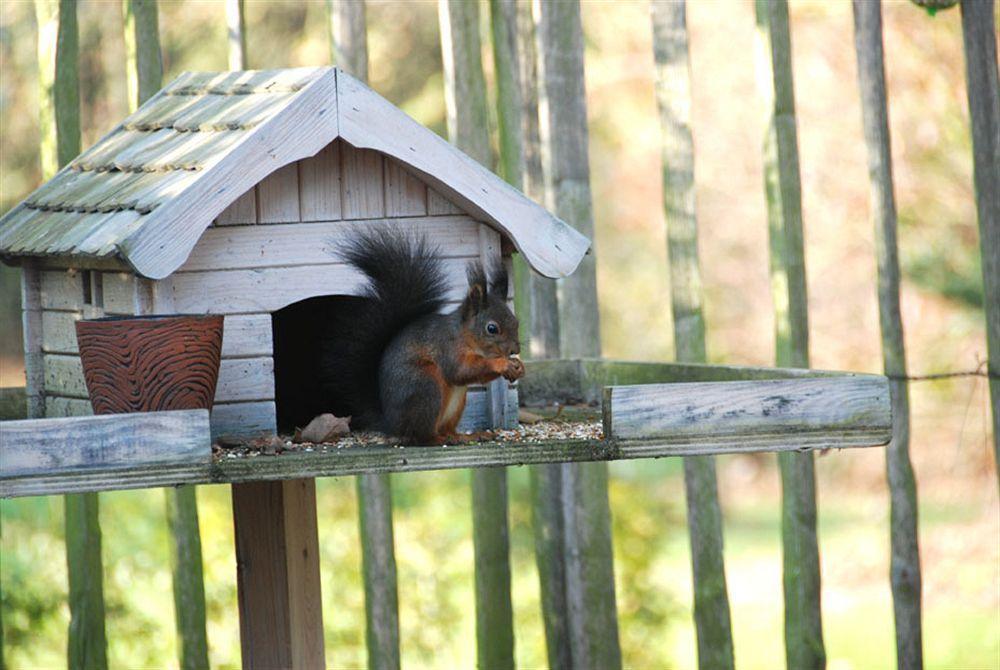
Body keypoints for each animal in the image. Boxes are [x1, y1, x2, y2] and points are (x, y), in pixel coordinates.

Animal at [318, 231, 524, 446]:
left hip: (456, 402)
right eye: (492, 328)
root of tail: (392, 424)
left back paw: (467, 435)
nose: (515, 350)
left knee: (446, 429)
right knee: (420, 436)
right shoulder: (447, 347)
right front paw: (502, 364)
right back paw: (438, 439)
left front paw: (518, 367)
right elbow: (460, 371)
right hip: (425, 387)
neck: (466, 336)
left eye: (516, 321)